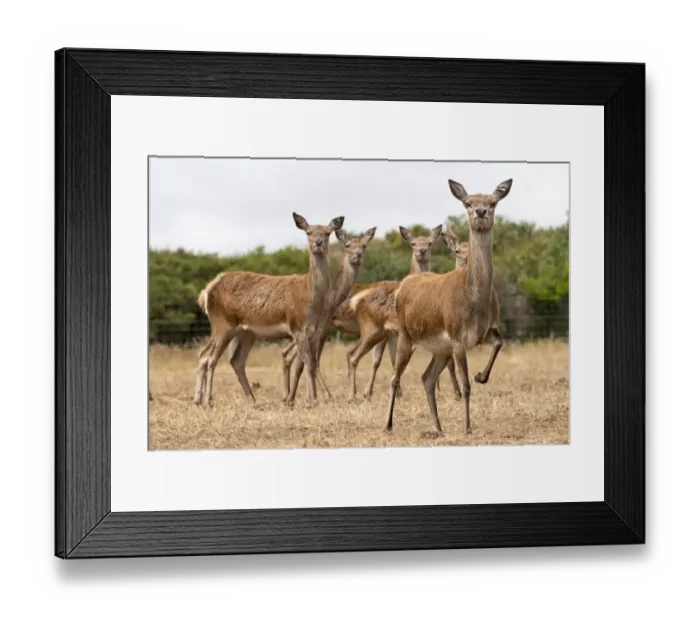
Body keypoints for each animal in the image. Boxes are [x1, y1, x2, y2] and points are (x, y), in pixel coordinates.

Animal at [193, 212, 344, 407]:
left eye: (327, 233)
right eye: (308, 232)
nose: (318, 243)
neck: (311, 298)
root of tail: (206, 292)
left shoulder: (313, 332)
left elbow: (308, 364)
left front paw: (311, 399)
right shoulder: (297, 327)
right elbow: (309, 364)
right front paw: (312, 401)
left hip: (246, 332)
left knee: (230, 359)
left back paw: (247, 399)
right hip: (223, 324)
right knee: (211, 358)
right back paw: (207, 401)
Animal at [345, 225, 462, 402]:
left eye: (429, 243)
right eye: (413, 243)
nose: (422, 251)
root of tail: (356, 301)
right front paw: (456, 394)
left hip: (379, 334)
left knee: (354, 354)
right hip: (371, 331)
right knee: (353, 356)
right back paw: (353, 395)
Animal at [385, 178, 513, 438]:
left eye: (492, 202)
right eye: (468, 202)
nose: (480, 212)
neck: (475, 302)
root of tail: (403, 286)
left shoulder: (483, 331)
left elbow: (499, 342)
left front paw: (481, 376)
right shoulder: (457, 336)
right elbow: (465, 385)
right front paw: (467, 427)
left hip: (439, 349)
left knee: (427, 378)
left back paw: (438, 427)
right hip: (406, 336)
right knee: (394, 377)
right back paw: (388, 425)